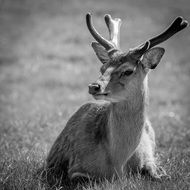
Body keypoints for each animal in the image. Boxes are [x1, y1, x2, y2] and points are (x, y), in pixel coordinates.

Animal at [45, 13, 189, 186]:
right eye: (102, 68)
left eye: (128, 71)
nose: (94, 86)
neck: (118, 164)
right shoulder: (76, 167)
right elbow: (87, 179)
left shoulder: (149, 156)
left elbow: (157, 173)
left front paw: (161, 173)